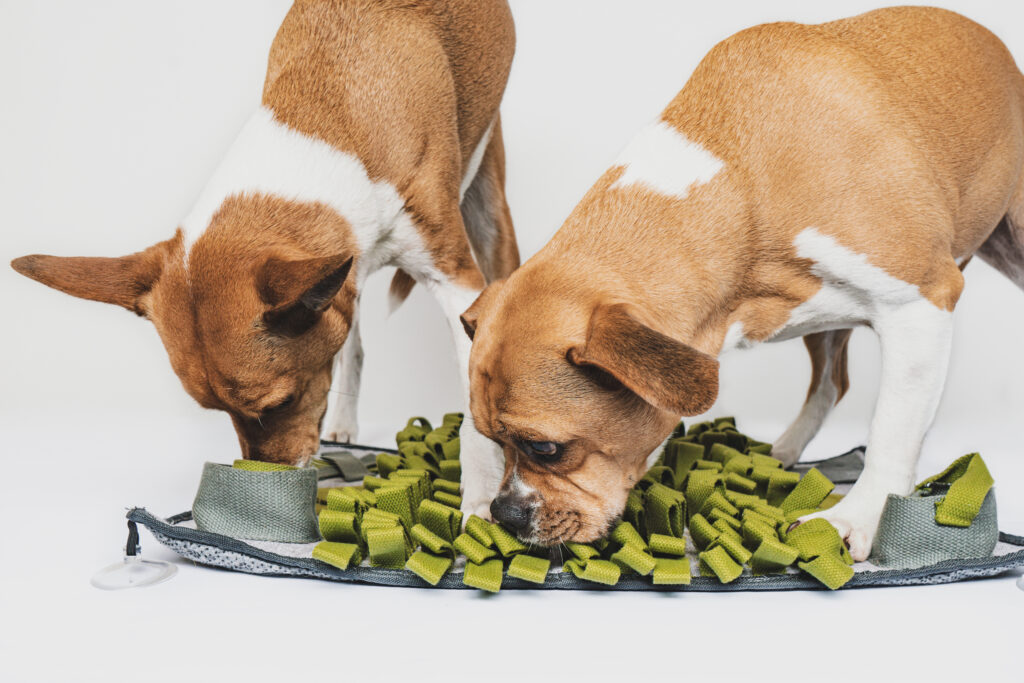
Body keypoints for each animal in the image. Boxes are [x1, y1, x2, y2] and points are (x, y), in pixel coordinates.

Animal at [11, 0, 518, 517]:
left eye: (280, 404)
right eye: (219, 411)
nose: (265, 485)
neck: (326, 122)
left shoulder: (454, 281)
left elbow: (477, 404)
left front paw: (479, 501)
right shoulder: (343, 271)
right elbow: (347, 345)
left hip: (488, 207)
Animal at [461, 6, 1024, 559]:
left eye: (545, 448)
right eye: (491, 439)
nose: (504, 515)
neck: (744, 183)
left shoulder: (919, 305)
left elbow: (890, 430)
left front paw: (857, 519)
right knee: (831, 382)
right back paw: (782, 455)